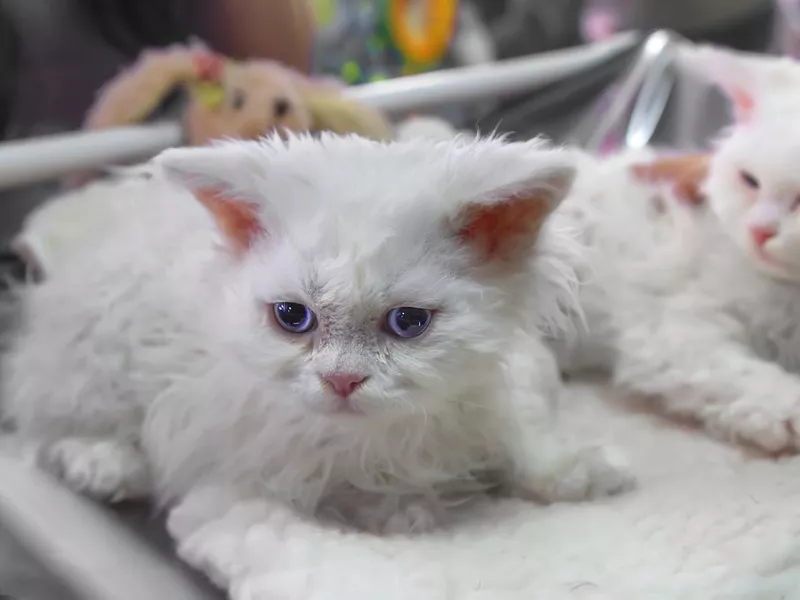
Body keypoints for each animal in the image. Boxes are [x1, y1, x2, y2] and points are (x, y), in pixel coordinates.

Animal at [3, 132, 636, 540]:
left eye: (408, 323)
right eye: (292, 318)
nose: (342, 380)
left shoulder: (506, 383)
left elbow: (527, 438)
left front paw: (576, 470)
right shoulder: (243, 446)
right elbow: (344, 484)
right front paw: (405, 509)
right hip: (95, 357)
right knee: (49, 425)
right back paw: (103, 463)